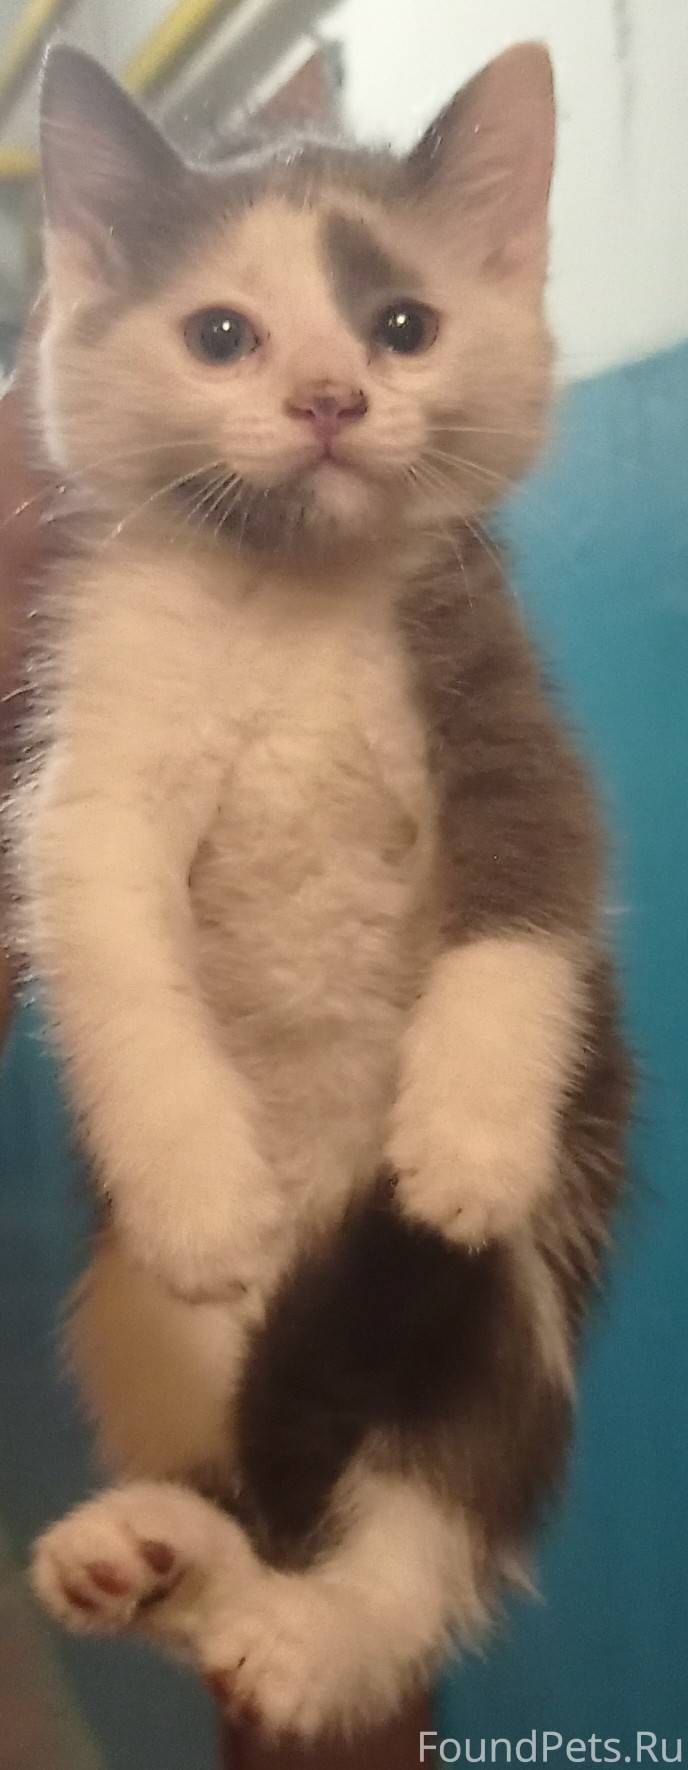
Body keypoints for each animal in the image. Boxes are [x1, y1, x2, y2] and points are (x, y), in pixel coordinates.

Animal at [19, 40, 632, 1744]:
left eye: (403, 325)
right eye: (222, 334)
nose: (328, 400)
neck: (290, 601)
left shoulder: (503, 704)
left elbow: (529, 906)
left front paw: (466, 1139)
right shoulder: (97, 758)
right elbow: (106, 933)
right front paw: (199, 1185)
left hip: (512, 1314)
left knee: (426, 1532)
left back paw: (306, 1633)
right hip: (123, 1319)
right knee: (252, 1479)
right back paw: (158, 1558)